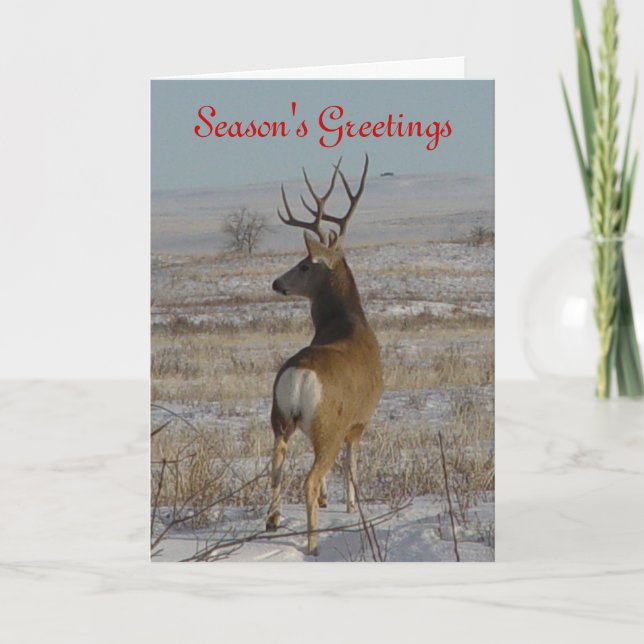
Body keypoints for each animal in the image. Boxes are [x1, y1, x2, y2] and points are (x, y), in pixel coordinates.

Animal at [265, 155, 383, 556]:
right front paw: (349, 504)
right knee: (310, 477)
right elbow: (352, 463)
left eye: (304, 265)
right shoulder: (358, 421)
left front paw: (330, 502)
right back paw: (313, 543)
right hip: (327, 425)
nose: (276, 283)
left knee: (276, 464)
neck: (347, 321)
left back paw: (273, 521)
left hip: (279, 417)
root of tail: (300, 375)